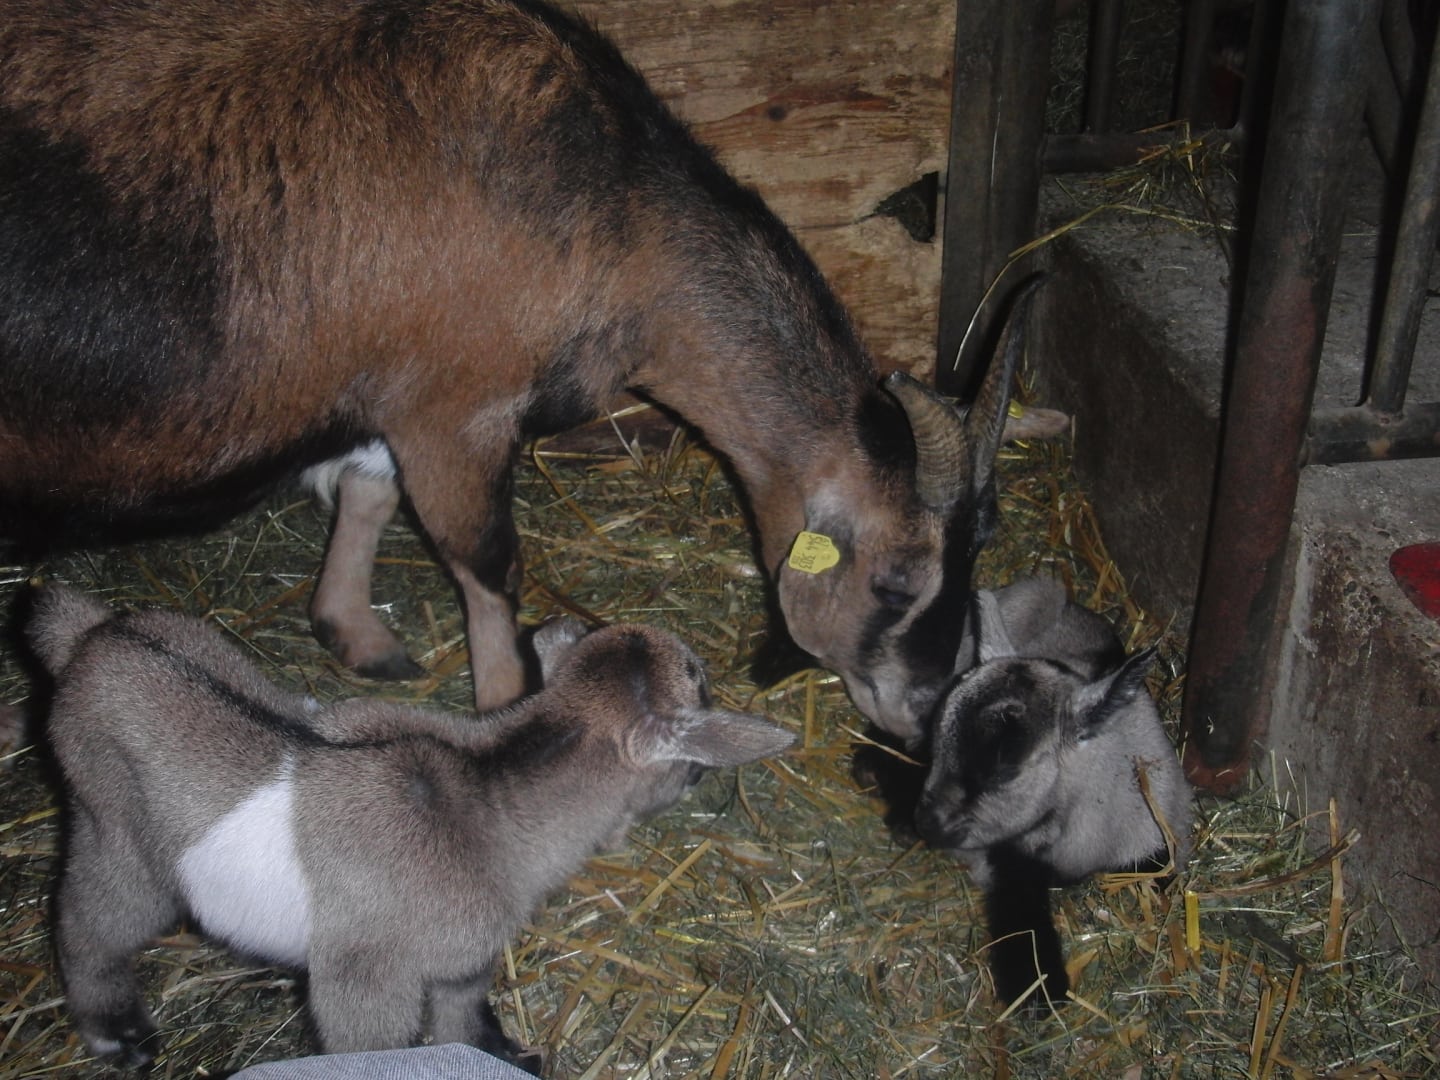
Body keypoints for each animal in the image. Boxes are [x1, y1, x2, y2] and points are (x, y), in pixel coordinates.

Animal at [0, 0, 1037, 738]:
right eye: (896, 582)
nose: (925, 710)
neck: (611, 208)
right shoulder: (456, 407)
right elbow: (490, 561)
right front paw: (506, 706)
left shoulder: (401, 387)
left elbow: (369, 490)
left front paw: (354, 634)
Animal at [28, 584, 795, 1070]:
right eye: (699, 681)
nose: (695, 780)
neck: (484, 804)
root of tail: (93, 635)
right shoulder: (365, 980)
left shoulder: (464, 958)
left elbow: (462, 1014)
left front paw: (504, 1053)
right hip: (114, 830)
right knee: (89, 920)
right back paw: (117, 1034)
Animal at [914, 579, 1193, 1008]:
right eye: (938, 744)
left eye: (1006, 770)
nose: (926, 823)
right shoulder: (1013, 861)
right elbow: (1020, 914)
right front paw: (1038, 992)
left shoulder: (1158, 845)